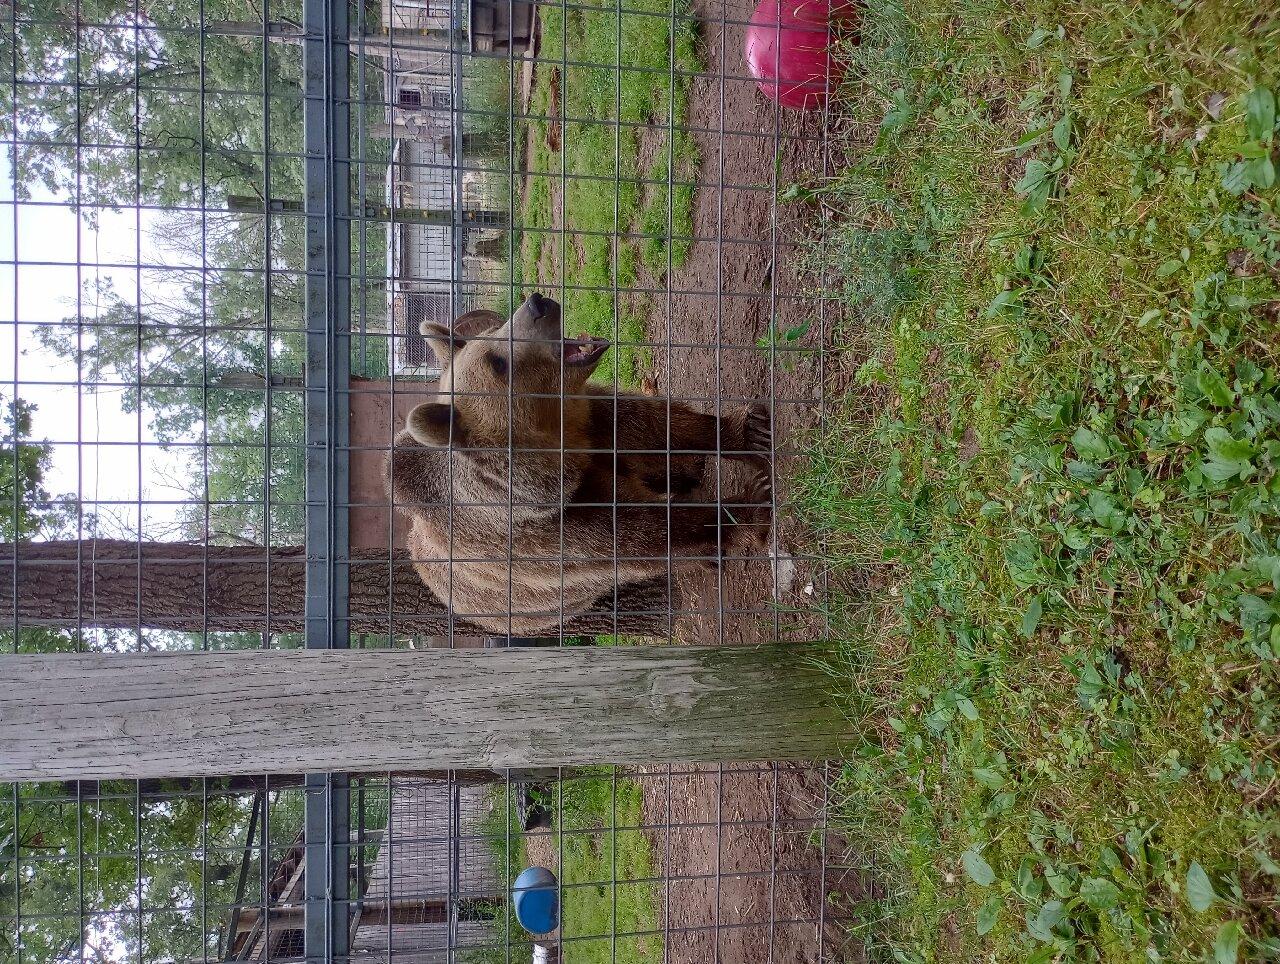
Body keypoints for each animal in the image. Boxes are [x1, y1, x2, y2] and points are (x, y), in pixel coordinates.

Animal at [386, 291, 773, 634]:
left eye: (490, 332)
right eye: (497, 363)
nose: (537, 303)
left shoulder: (594, 422)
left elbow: (651, 426)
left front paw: (748, 433)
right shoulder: (543, 537)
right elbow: (640, 532)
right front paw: (751, 505)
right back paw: (710, 550)